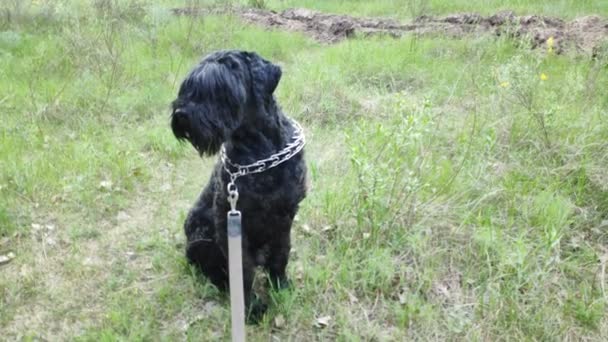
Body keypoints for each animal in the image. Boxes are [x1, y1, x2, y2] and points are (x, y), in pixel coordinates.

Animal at [170, 50, 306, 320]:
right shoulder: (229, 225)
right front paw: (251, 308)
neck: (259, 152)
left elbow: (281, 255)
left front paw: (280, 287)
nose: (181, 115)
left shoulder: (285, 216)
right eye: (188, 86)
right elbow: (242, 271)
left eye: (220, 87)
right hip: (202, 243)